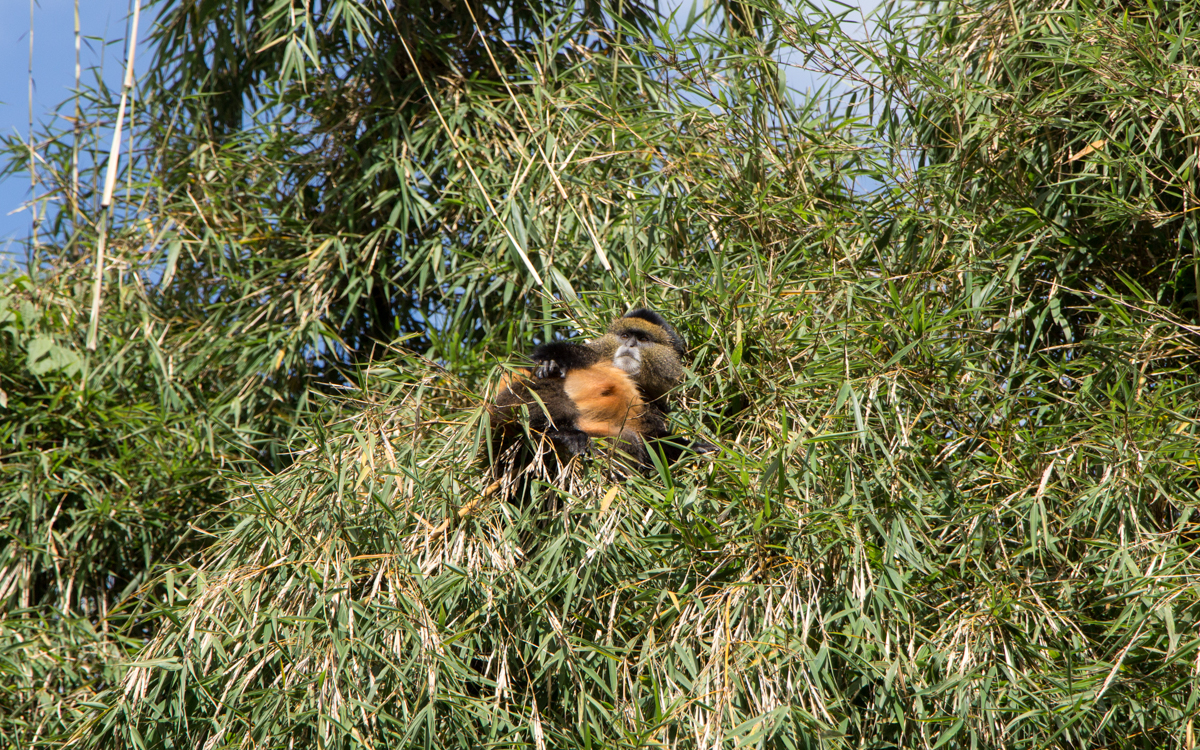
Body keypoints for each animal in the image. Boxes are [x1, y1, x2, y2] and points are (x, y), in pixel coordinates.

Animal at [490, 309, 712, 471]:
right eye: (625, 335)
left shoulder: (654, 404)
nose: (630, 344)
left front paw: (695, 447)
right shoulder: (587, 353)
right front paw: (548, 363)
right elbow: (540, 360)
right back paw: (563, 434)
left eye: (643, 339)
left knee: (629, 440)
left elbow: (654, 441)